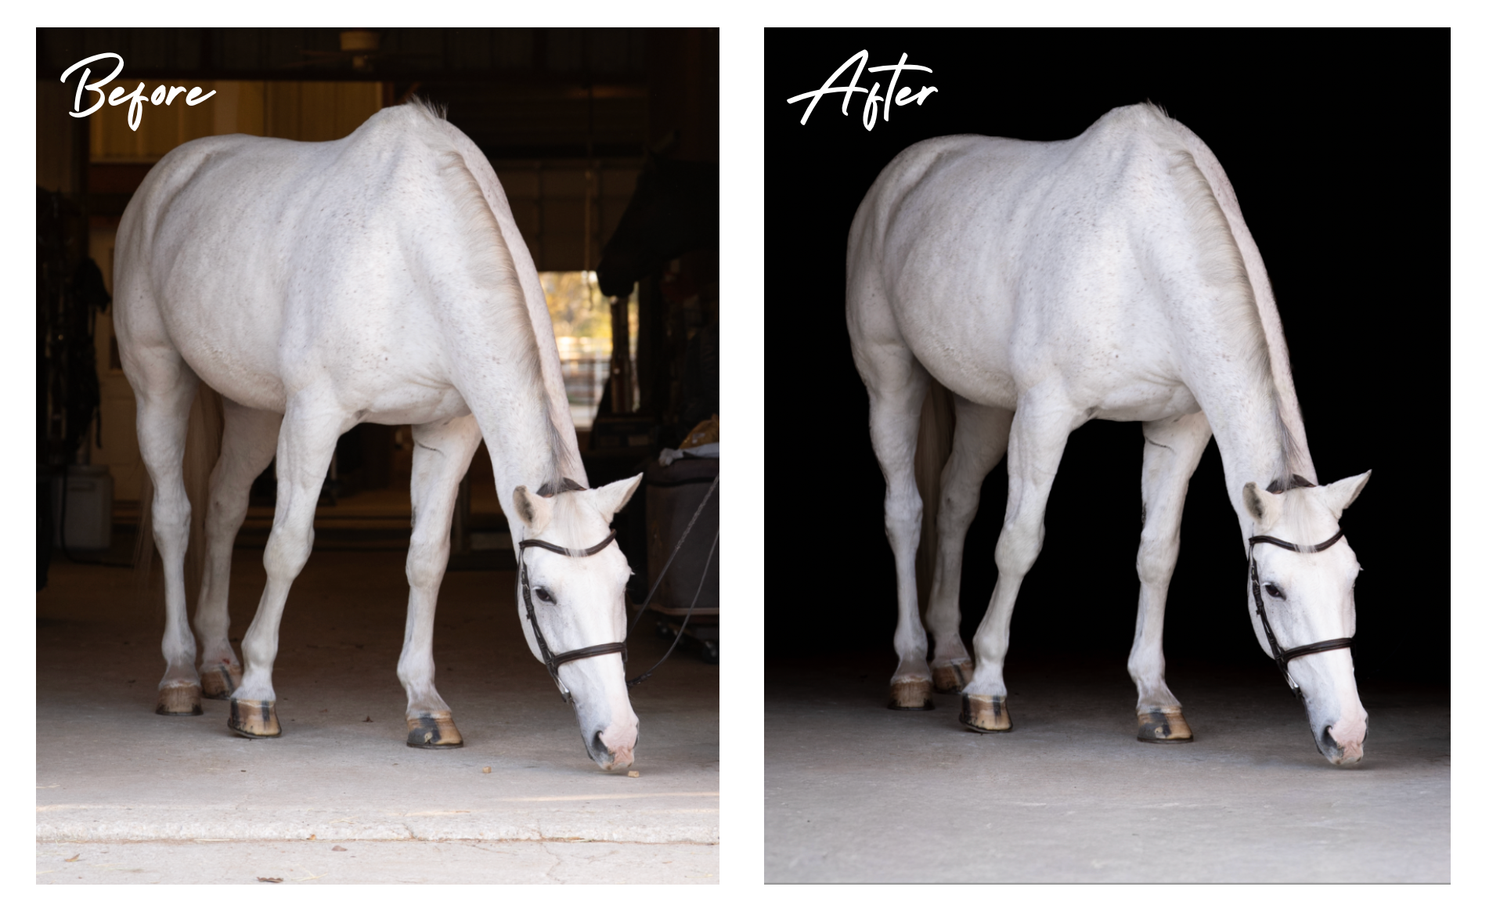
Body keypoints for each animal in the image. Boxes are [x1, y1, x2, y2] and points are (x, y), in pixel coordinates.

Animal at [113, 100, 644, 771]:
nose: (618, 740)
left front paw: (426, 706)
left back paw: (216, 663)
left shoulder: (449, 430)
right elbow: (287, 547)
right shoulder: (314, 418)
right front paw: (257, 698)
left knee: (225, 507)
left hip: (253, 408)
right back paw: (181, 674)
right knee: (175, 516)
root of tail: (170, 176)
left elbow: (426, 560)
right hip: (160, 382)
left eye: (624, 582)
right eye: (544, 594)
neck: (411, 252)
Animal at [846, 103, 1371, 766]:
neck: (1140, 250)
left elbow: (1157, 555)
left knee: (955, 503)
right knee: (906, 511)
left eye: (1352, 578)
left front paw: (1156, 700)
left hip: (984, 405)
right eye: (1273, 590)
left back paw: (949, 658)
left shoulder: (1180, 428)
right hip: (891, 378)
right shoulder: (1044, 415)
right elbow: (1019, 543)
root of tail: (905, 173)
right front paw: (988, 692)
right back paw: (914, 668)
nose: (1347, 734)